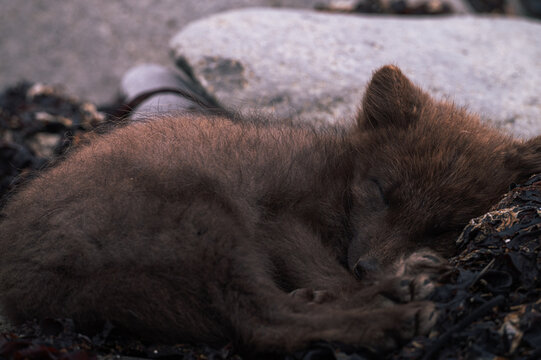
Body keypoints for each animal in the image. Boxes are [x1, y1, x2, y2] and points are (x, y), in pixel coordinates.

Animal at [1, 65, 540, 354]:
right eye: (380, 190)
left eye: (443, 226)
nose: (370, 268)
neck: (336, 171)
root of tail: (23, 278)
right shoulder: (280, 221)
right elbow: (327, 271)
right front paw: (381, 285)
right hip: (208, 214)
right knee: (263, 323)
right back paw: (392, 312)